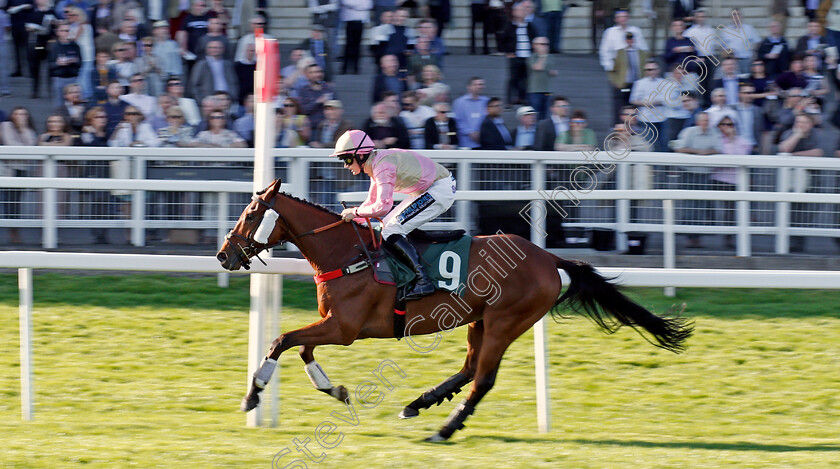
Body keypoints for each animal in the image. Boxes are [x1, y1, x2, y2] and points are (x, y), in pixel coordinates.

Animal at [218, 177, 696, 440]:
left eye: (250, 213)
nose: (224, 256)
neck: (346, 253)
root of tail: (548, 258)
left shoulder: (345, 327)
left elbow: (283, 340)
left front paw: (252, 395)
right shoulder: (333, 323)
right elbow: (300, 348)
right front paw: (335, 390)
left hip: (506, 321)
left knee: (482, 378)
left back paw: (445, 428)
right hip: (479, 320)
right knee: (469, 369)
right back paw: (419, 403)